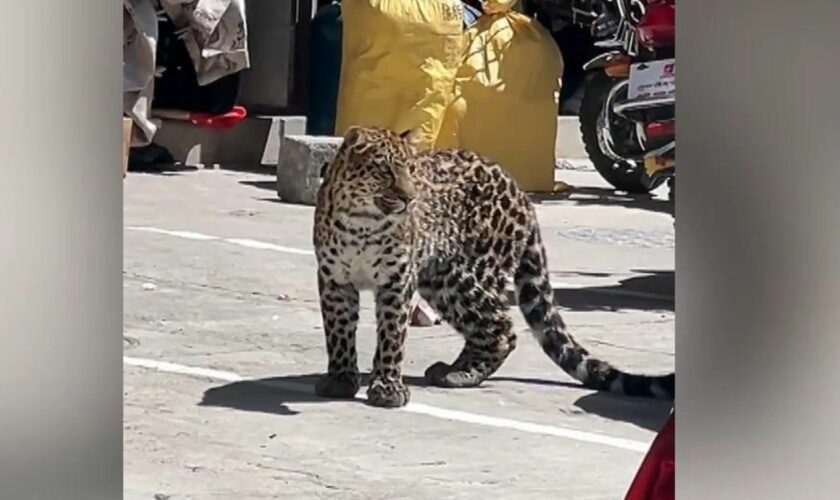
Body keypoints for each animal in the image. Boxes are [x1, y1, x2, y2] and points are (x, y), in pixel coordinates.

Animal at [312, 127, 672, 408]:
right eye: (385, 171)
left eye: (410, 170)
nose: (410, 199)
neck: (362, 222)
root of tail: (520, 191)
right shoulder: (334, 280)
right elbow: (339, 331)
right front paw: (341, 379)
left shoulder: (397, 280)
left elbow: (392, 336)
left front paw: (387, 387)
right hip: (440, 279)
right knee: (488, 328)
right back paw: (452, 370)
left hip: (463, 276)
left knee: (501, 329)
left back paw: (459, 374)